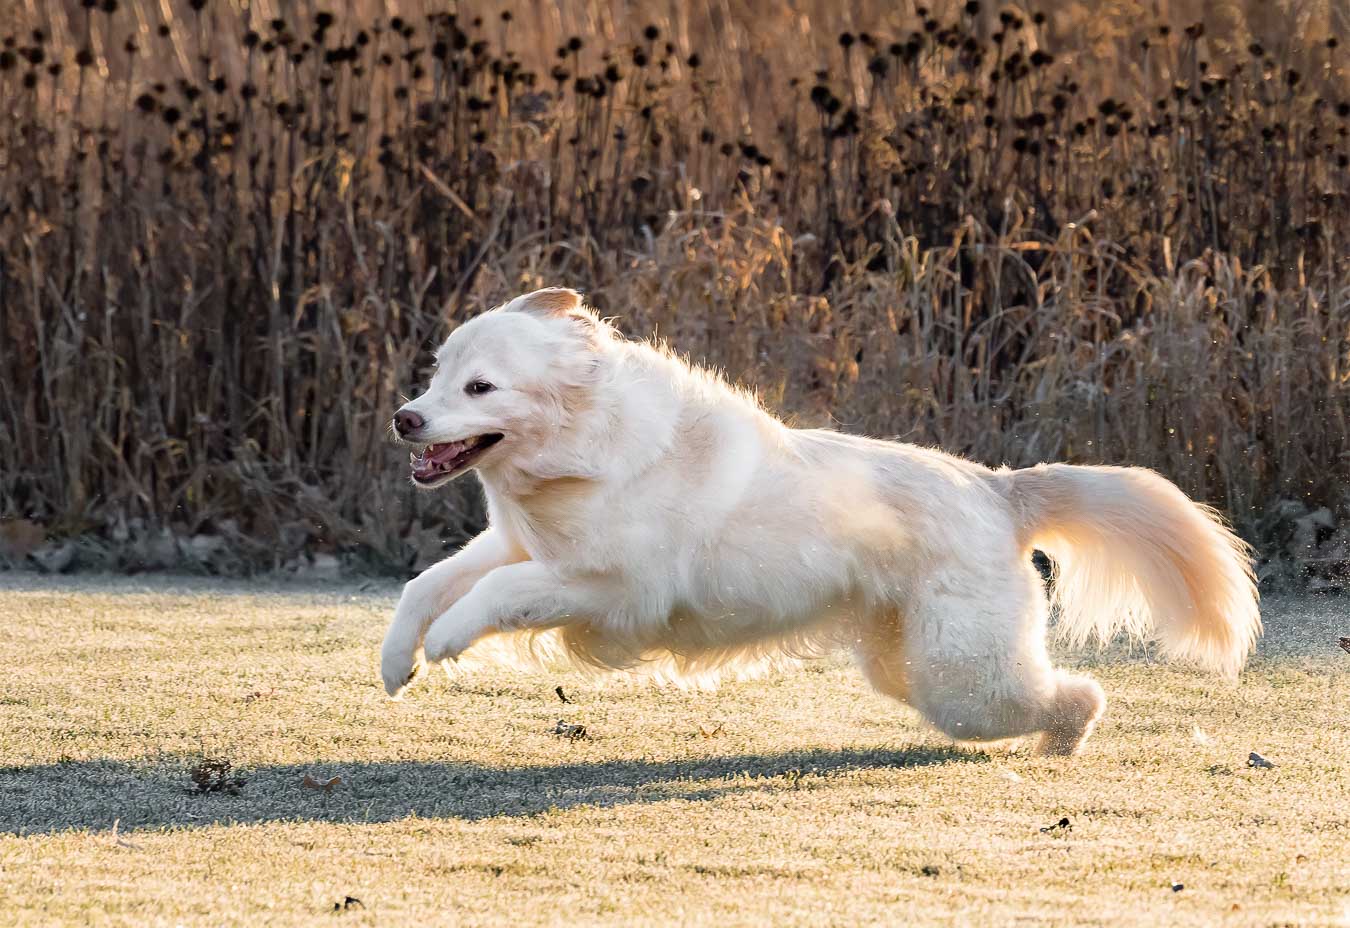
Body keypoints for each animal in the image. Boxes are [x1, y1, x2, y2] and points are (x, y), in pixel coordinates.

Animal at [383, 289, 1263, 756]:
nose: (404, 418)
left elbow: (495, 595)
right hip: (911, 669)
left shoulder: (611, 588)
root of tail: (996, 488)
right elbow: (427, 583)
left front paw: (450, 642)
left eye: (481, 388)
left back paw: (1062, 742)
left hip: (963, 682)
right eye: (437, 373)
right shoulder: (516, 542)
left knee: (1078, 694)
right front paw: (398, 664)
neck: (585, 446)